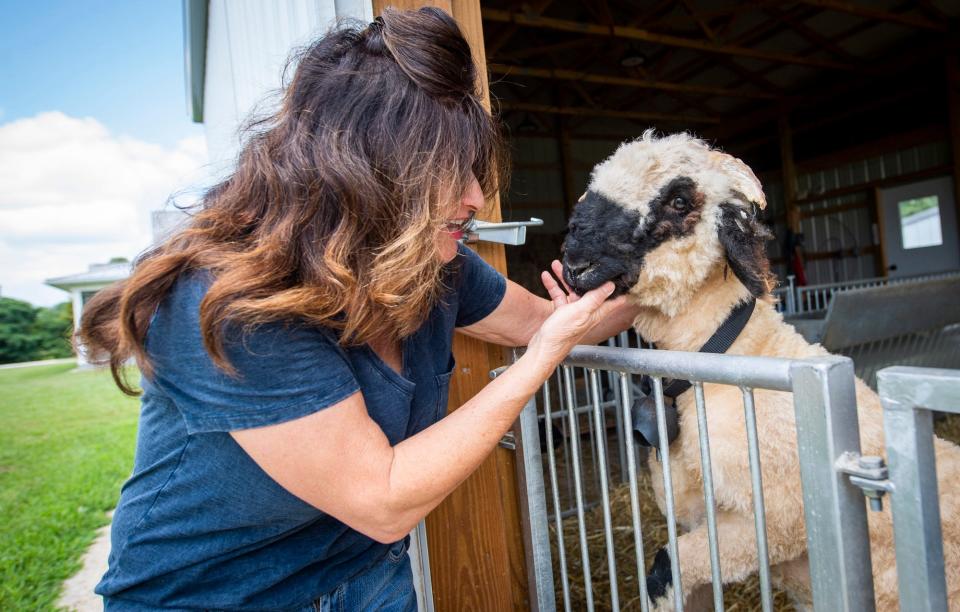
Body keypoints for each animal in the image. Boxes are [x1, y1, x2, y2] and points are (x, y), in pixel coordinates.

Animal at [560, 130, 956, 612]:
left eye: (678, 200)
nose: (574, 260)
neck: (735, 357)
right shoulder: (700, 512)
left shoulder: (776, 520)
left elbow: (666, 567)